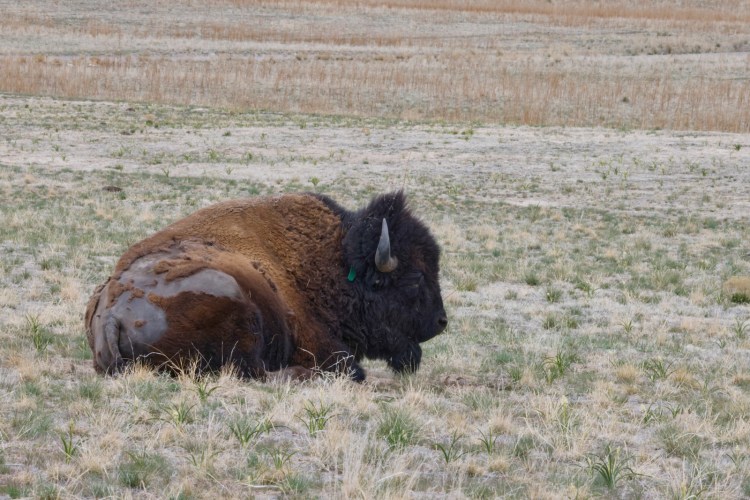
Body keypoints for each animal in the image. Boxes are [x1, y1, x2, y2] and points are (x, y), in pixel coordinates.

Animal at [85, 191, 447, 381]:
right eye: (416, 278)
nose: (441, 322)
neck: (330, 261)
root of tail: (110, 316)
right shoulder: (321, 344)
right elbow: (350, 367)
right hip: (237, 303)